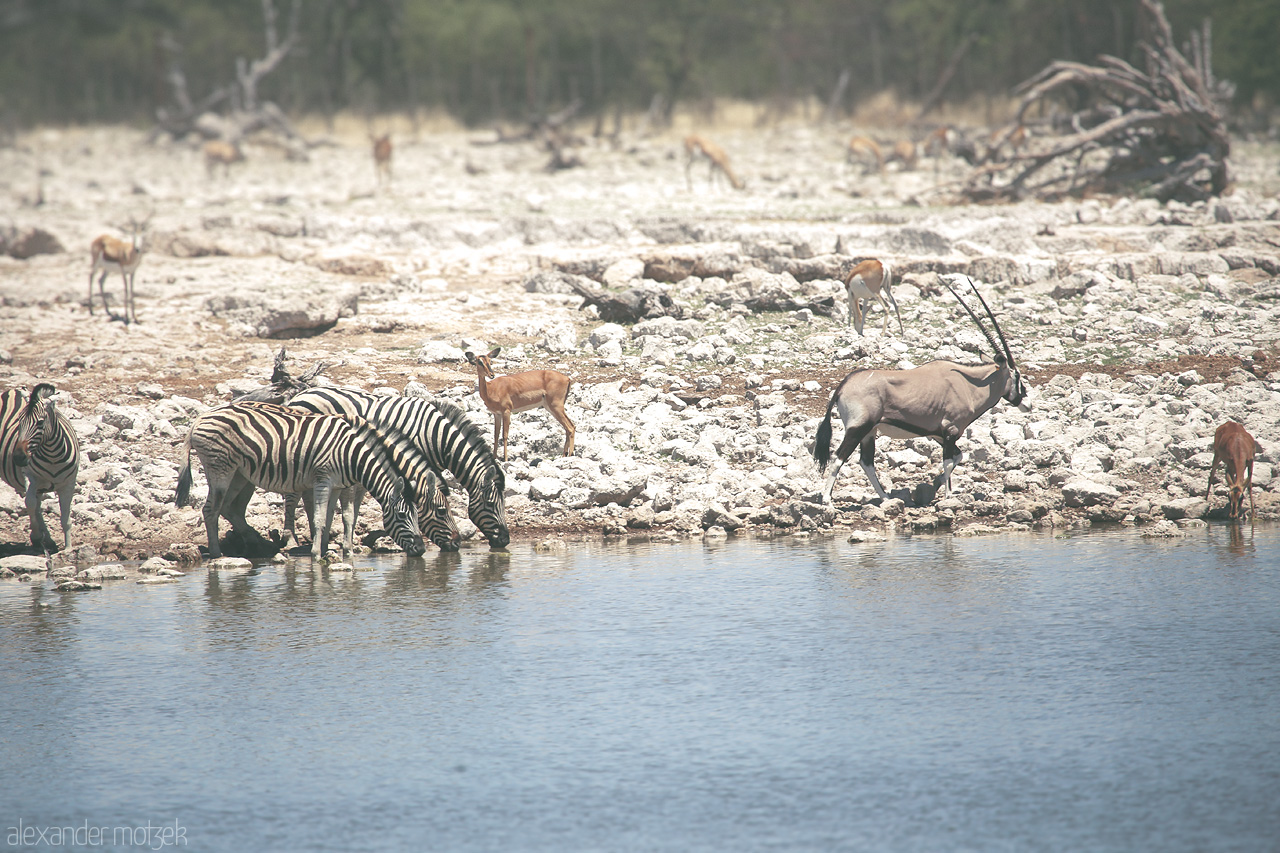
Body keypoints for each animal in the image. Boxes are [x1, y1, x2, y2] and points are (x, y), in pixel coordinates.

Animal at [0, 383, 80, 552]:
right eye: (19, 421)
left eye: (40, 423)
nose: (18, 458)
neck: (53, 456)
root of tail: (13, 390)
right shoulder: (30, 476)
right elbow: (30, 504)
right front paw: (36, 537)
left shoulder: (69, 483)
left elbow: (66, 517)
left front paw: (68, 548)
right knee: (35, 505)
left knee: (38, 505)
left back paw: (48, 540)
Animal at [174, 402, 459, 561]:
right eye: (402, 516)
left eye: (418, 514)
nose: (421, 550)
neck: (353, 455)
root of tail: (199, 419)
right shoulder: (325, 481)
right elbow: (325, 519)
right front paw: (319, 554)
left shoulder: (338, 484)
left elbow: (332, 518)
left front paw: (328, 550)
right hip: (220, 470)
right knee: (211, 510)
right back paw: (218, 554)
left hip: (240, 474)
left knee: (229, 508)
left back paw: (259, 545)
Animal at [287, 387, 511, 549]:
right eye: (491, 504)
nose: (505, 540)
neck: (437, 437)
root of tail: (299, 394)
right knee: (293, 495)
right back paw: (291, 539)